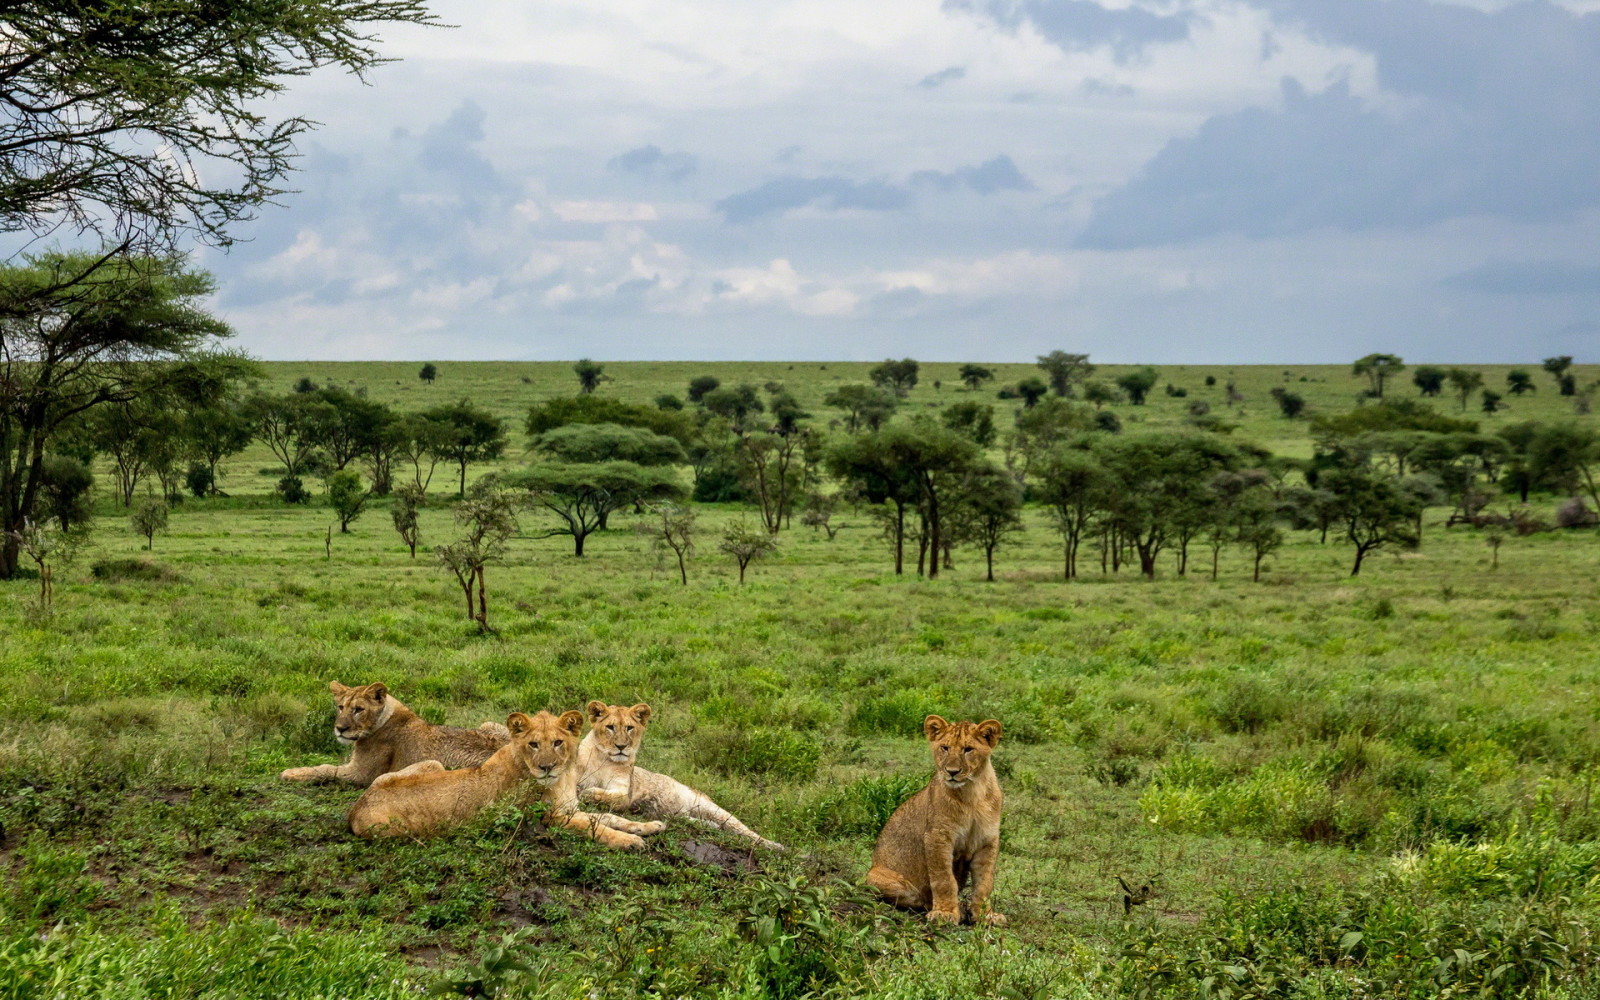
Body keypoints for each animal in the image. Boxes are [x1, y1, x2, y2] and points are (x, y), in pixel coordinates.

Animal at [276, 681, 505, 784]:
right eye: (341, 707)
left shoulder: (360, 773)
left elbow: (325, 769)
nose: (340, 729)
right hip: (488, 723)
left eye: (358, 709)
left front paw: (292, 772)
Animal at [347, 707, 672, 844]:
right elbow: (595, 828)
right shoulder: (547, 818)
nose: (546, 767)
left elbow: (610, 818)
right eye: (533, 744)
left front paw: (650, 826)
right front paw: (630, 842)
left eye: (558, 742)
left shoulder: (569, 808)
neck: (562, 779)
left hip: (431, 765)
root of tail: (355, 809)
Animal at [579, 700, 784, 851]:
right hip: (678, 814)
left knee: (742, 829)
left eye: (629, 728)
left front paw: (588, 793)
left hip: (709, 807)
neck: (603, 759)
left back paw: (775, 846)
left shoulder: (625, 793)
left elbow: (610, 797)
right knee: (697, 821)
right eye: (610, 727)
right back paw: (711, 826)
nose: (621, 747)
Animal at [870, 713, 1004, 921]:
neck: (973, 793)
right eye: (945, 748)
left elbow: (985, 882)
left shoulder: (987, 840)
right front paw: (945, 912)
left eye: (968, 749)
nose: (952, 772)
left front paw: (985, 915)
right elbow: (944, 879)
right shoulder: (937, 836)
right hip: (872, 876)